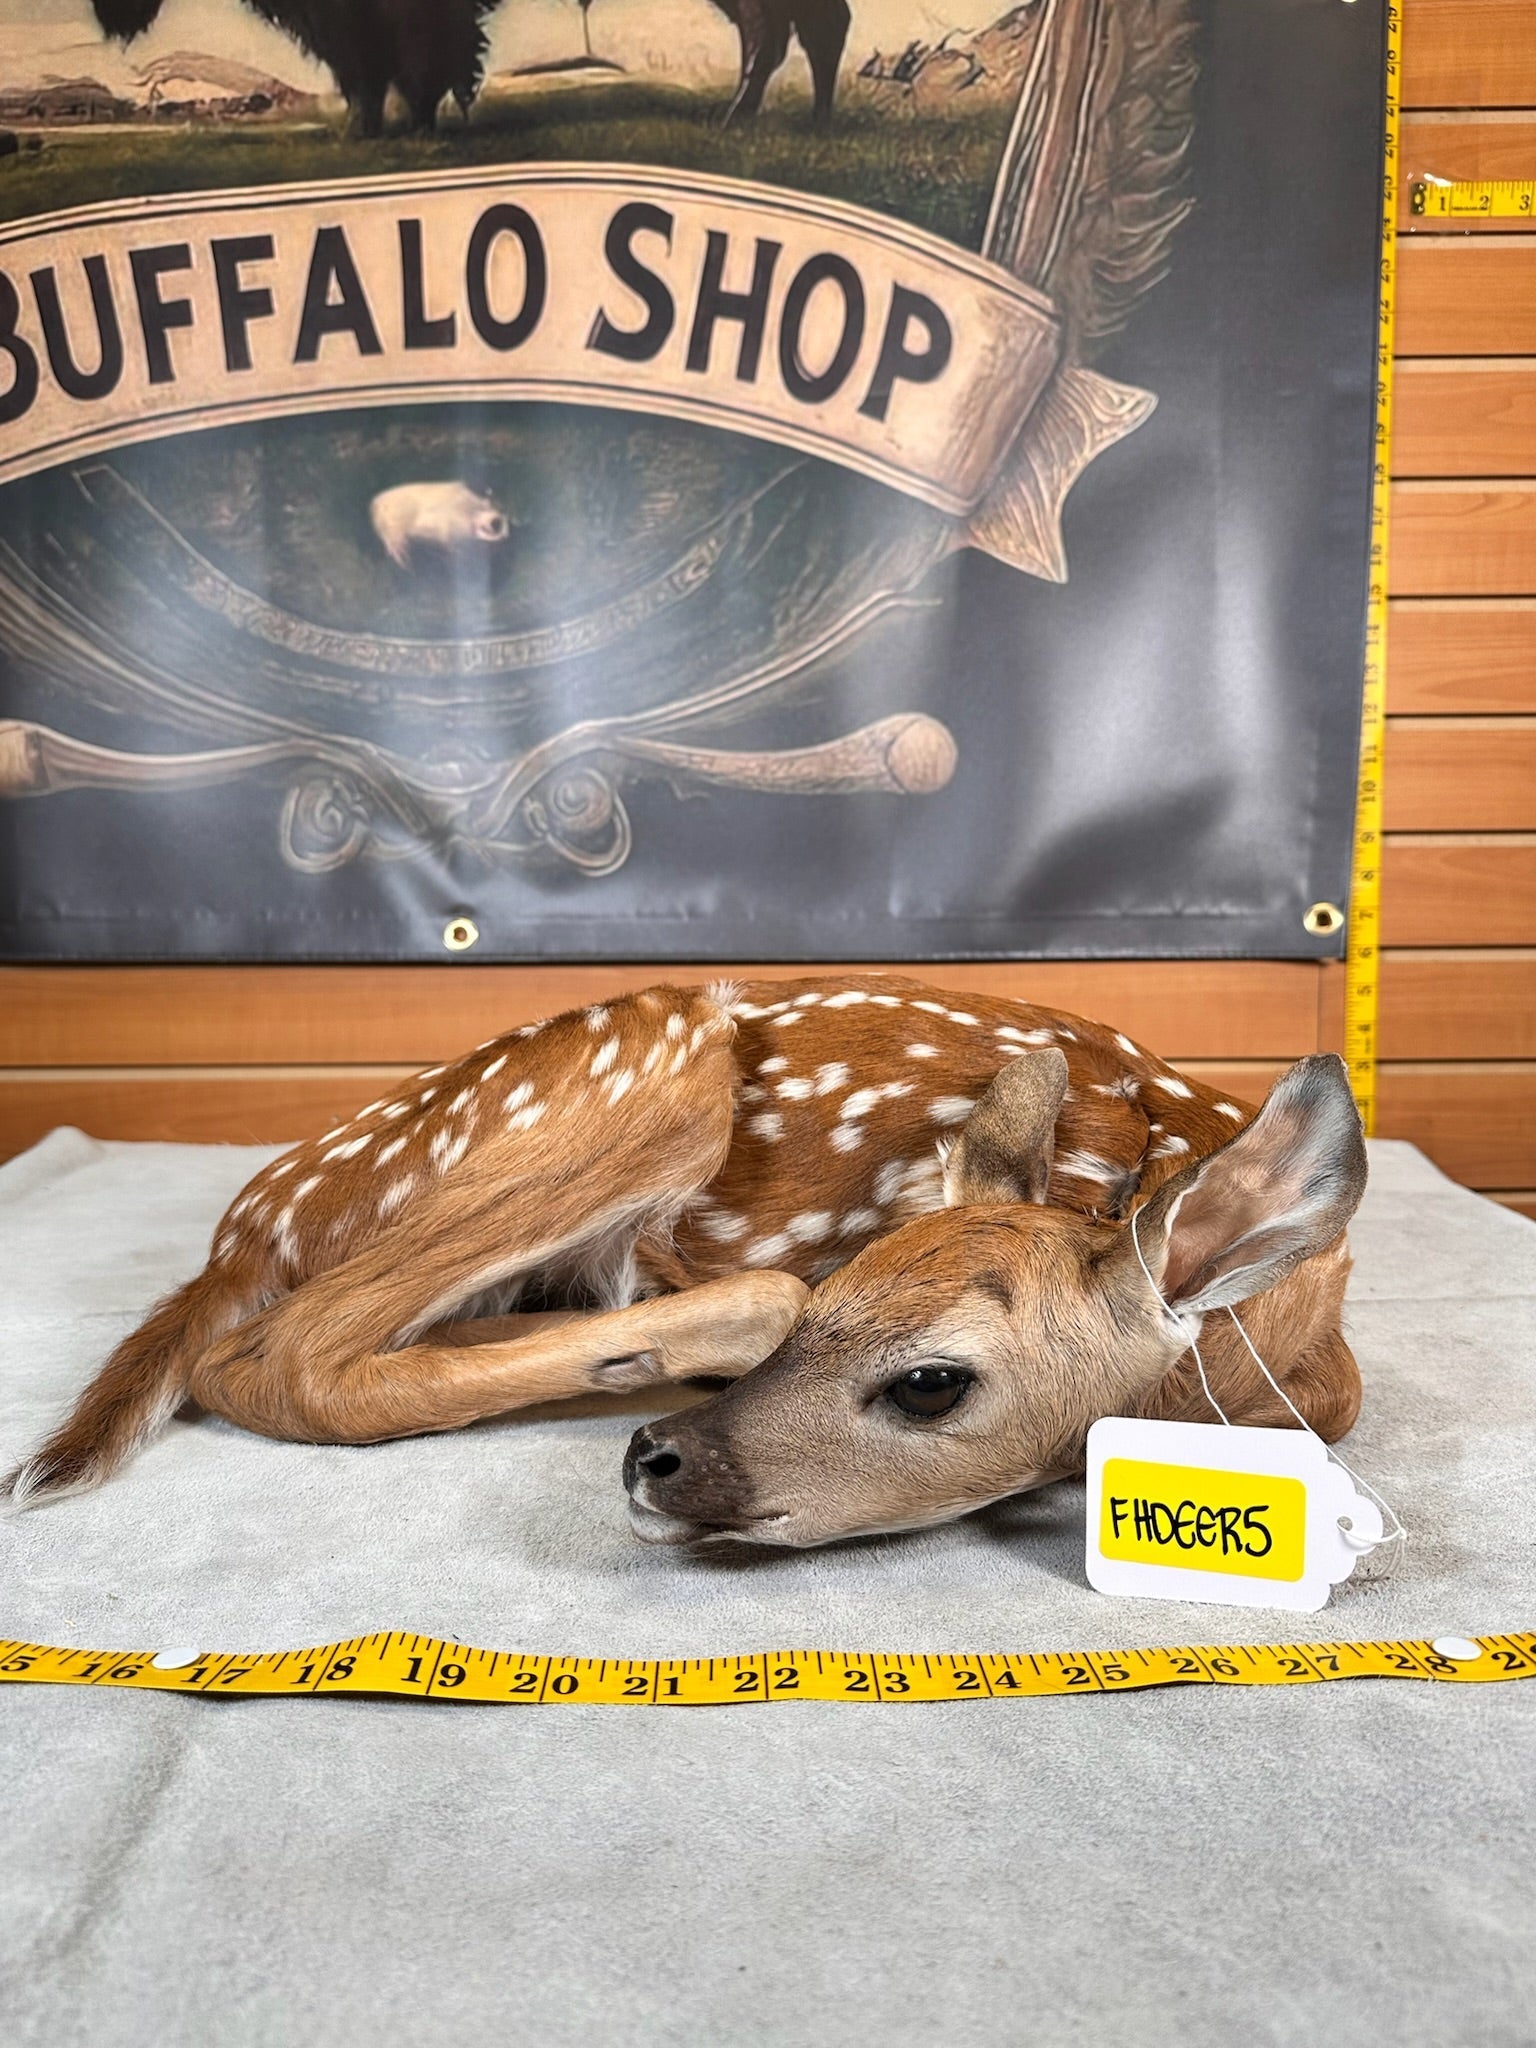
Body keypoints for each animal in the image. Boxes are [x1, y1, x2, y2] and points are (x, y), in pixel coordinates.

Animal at [3, 975, 1368, 1550]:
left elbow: (1342, 1399)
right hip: (660, 1052)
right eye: (851, 1292)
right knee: (274, 1354)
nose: (660, 1466)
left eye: (932, 1381)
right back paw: (696, 1327)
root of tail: (240, 1235)